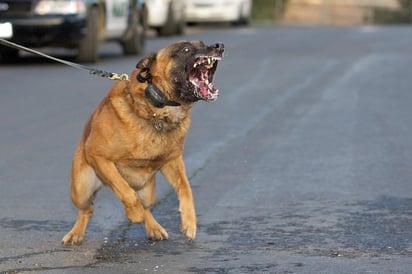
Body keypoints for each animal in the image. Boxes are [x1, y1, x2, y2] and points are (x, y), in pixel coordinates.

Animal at [62, 39, 225, 245]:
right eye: (186, 49)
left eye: (202, 43)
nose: (219, 46)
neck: (156, 109)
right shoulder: (98, 156)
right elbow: (124, 190)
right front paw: (134, 214)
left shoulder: (173, 162)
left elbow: (186, 189)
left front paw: (189, 222)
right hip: (81, 190)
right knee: (89, 208)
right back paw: (75, 233)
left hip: (147, 192)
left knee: (146, 206)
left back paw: (154, 228)